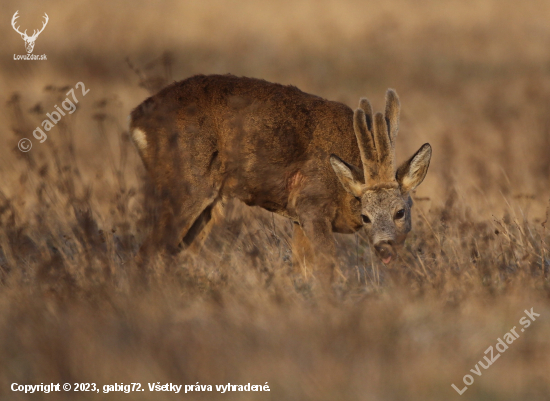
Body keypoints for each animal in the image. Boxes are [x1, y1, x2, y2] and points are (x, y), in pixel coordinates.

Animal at [132, 74, 434, 282]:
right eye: (366, 216)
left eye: (400, 212)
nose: (385, 248)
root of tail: (135, 119)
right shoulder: (311, 202)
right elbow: (326, 265)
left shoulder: (298, 216)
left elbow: (301, 269)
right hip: (186, 185)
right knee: (148, 250)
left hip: (206, 205)